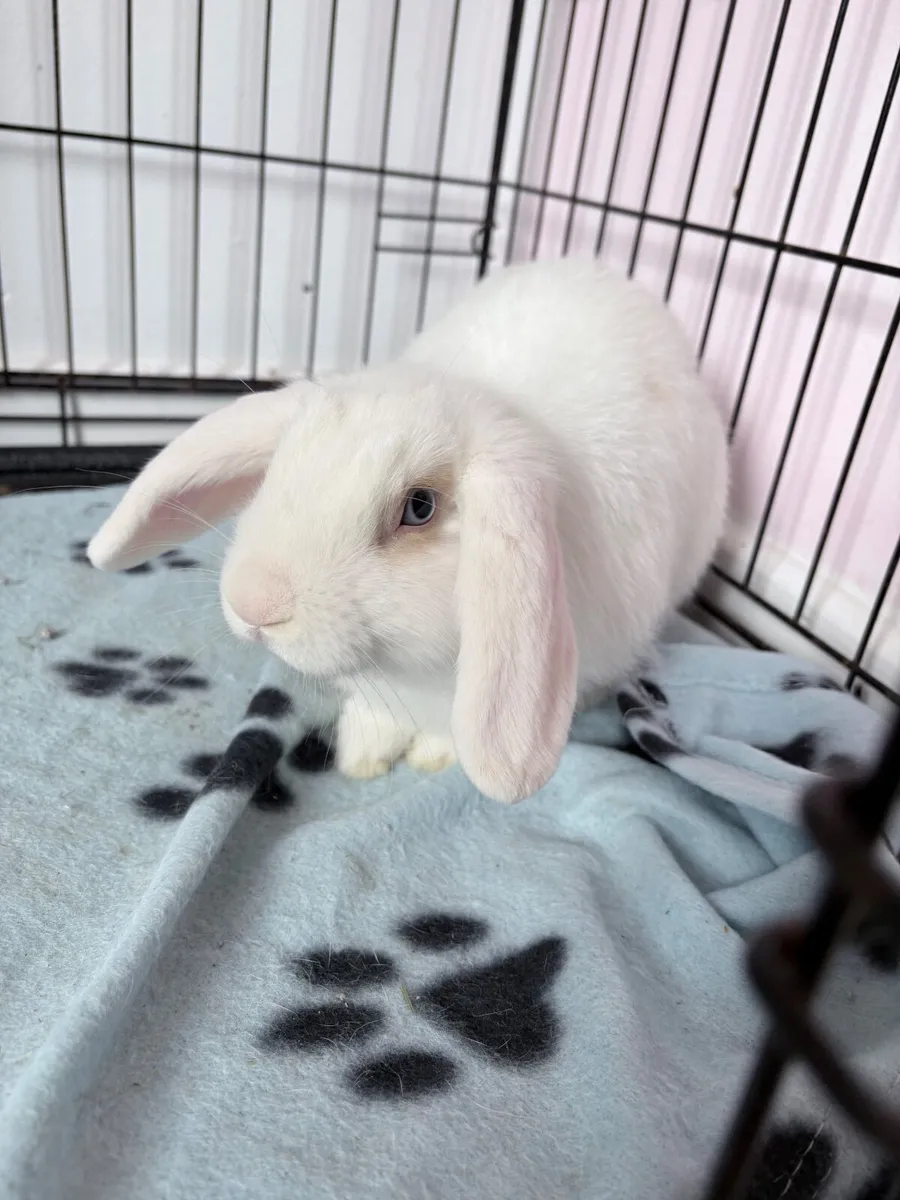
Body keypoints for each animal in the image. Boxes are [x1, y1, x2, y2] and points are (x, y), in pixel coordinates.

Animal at [87, 259, 728, 803]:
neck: (414, 674)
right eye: (279, 467)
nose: (253, 604)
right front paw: (363, 755)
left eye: (419, 508)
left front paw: (431, 757)